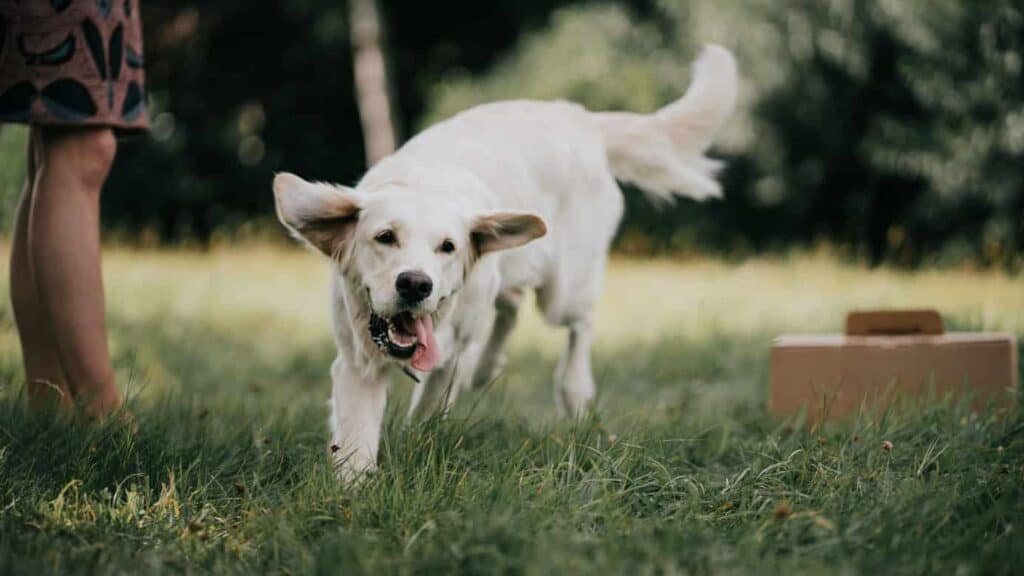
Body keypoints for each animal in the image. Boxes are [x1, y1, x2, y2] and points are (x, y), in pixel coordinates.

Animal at [272, 44, 737, 475]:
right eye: (385, 237)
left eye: (448, 247)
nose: (416, 284)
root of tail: (580, 117)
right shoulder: (357, 362)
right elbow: (356, 439)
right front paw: (354, 489)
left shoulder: (449, 354)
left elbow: (427, 408)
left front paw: (414, 443)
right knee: (510, 305)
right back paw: (488, 367)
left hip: (562, 291)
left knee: (578, 323)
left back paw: (573, 388)